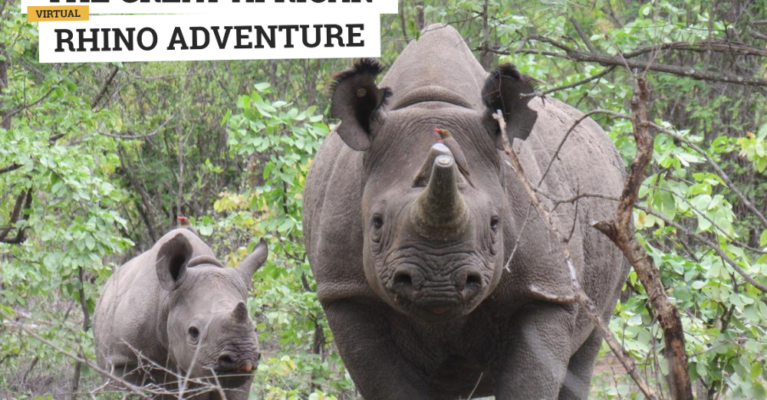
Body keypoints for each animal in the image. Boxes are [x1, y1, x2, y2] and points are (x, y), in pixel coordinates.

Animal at [302, 23, 632, 398]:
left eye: (495, 223)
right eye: (376, 223)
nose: (438, 283)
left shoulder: (548, 290)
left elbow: (530, 379)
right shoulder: (346, 292)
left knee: (588, 344)